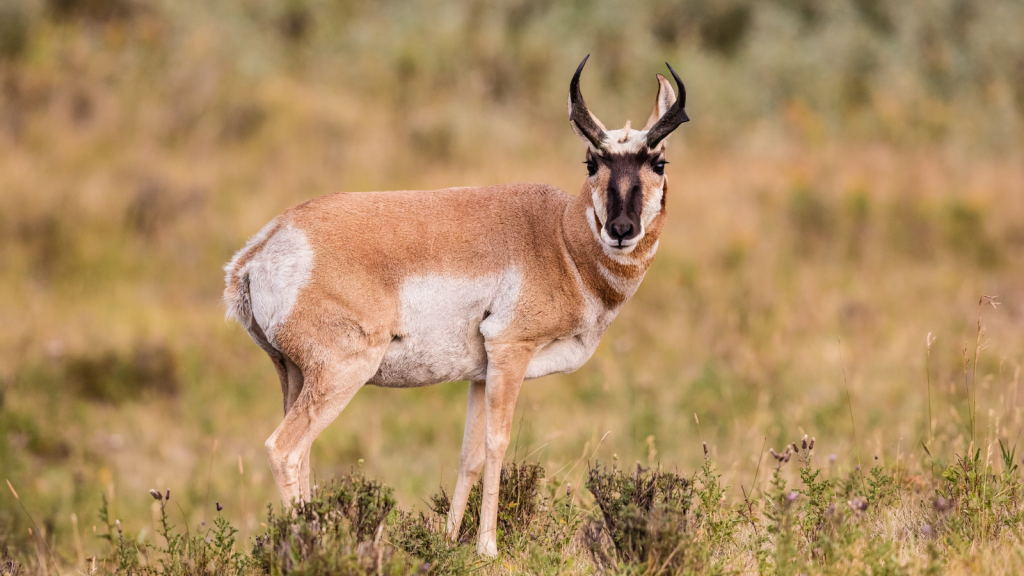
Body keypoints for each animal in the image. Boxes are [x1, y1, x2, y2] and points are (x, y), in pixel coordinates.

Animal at [223, 56, 688, 553]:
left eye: (658, 161)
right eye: (592, 161)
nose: (621, 229)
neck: (560, 238)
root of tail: (265, 245)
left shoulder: (480, 375)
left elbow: (469, 454)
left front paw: (448, 541)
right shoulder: (510, 353)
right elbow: (497, 444)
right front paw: (488, 548)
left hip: (293, 376)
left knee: (304, 452)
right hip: (342, 373)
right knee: (285, 449)